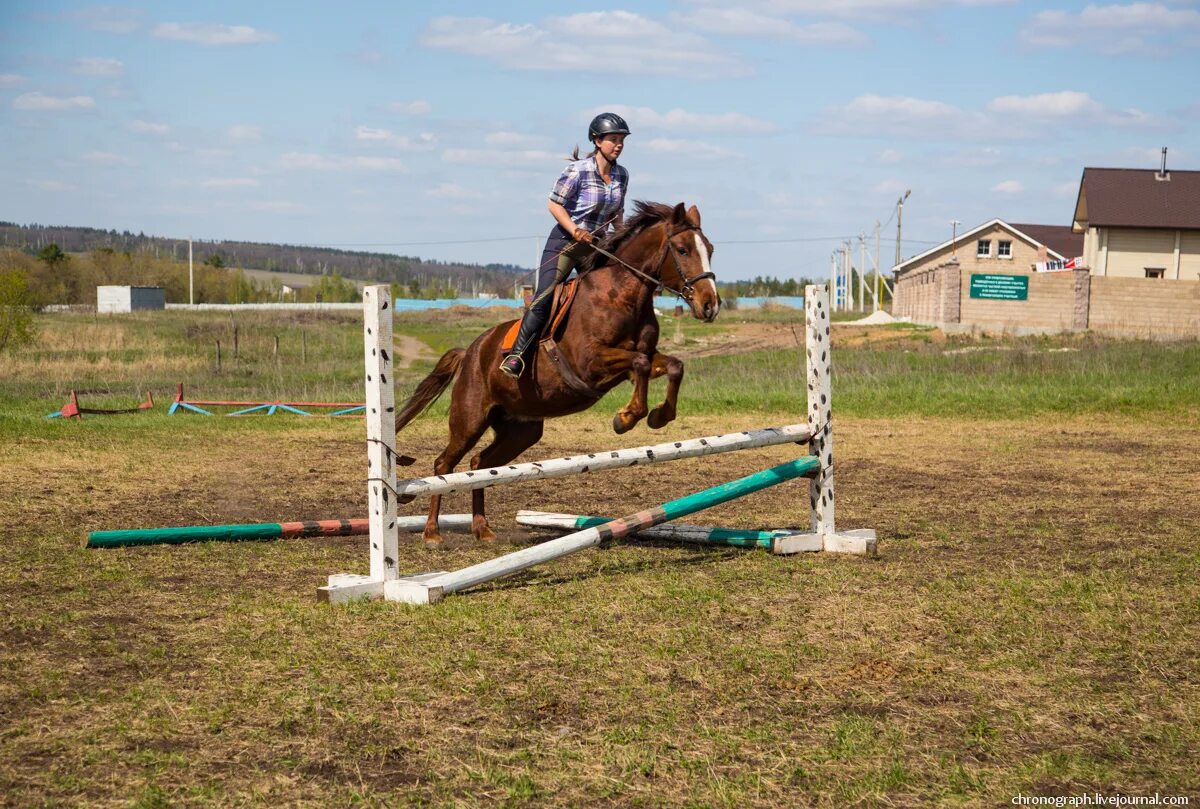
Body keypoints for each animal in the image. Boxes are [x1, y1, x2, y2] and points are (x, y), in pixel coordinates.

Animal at [396, 198, 720, 544]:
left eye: (710, 249)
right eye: (683, 250)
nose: (710, 305)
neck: (621, 295)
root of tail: (470, 351)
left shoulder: (639, 358)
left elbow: (671, 365)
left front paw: (658, 415)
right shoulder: (590, 363)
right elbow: (641, 364)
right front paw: (627, 417)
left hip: (520, 430)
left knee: (480, 464)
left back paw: (482, 529)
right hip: (469, 419)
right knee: (444, 463)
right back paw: (432, 532)